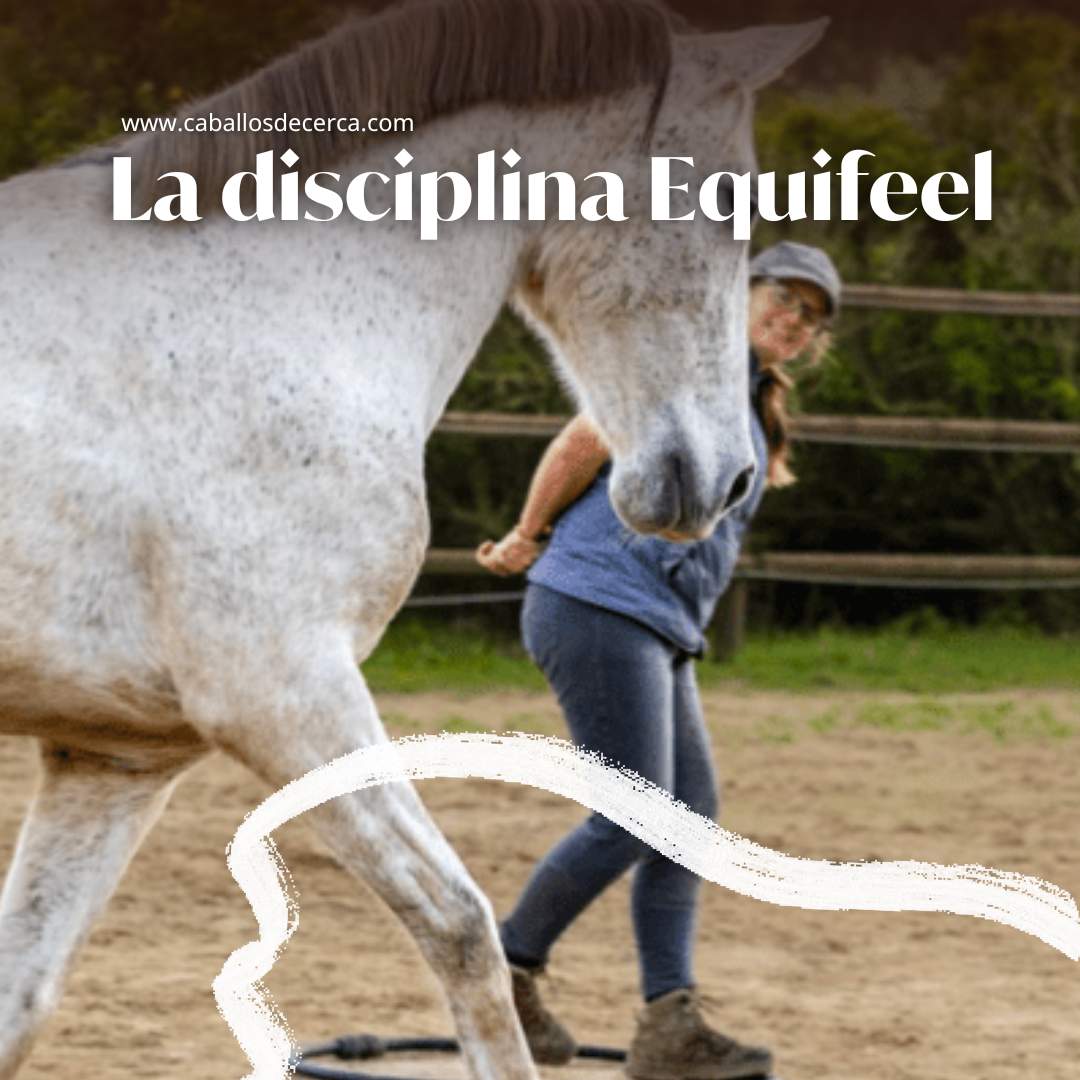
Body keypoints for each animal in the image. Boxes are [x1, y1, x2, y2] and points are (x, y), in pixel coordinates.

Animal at [0, 1, 825, 1076]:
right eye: (727, 199)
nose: (725, 479)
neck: (267, 321)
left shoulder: (115, 755)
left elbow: (20, 995)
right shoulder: (287, 697)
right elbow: (461, 929)